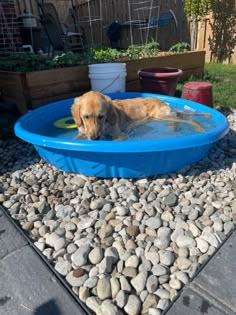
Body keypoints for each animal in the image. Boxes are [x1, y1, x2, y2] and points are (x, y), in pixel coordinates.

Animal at [71, 91, 211, 141]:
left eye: (101, 116)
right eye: (86, 117)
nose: (95, 138)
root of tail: (161, 100)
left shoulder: (121, 135)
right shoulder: (82, 133)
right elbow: (77, 137)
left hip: (160, 115)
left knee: (190, 121)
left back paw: (200, 128)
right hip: (162, 116)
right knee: (181, 117)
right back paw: (174, 128)